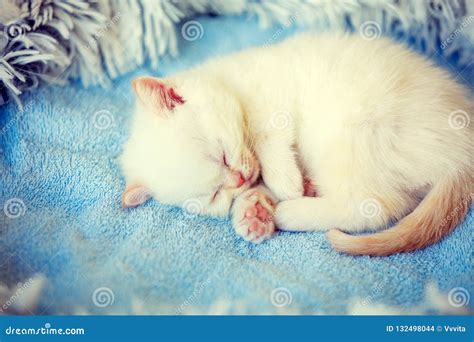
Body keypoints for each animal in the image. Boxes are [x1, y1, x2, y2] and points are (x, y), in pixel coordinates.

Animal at [119, 32, 474, 256]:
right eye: (214, 195)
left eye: (220, 155)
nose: (238, 179)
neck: (233, 84)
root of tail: (462, 151)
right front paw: (251, 213)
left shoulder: (272, 92)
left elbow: (267, 136)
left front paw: (283, 184)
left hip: (350, 134)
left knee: (371, 208)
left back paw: (291, 211)